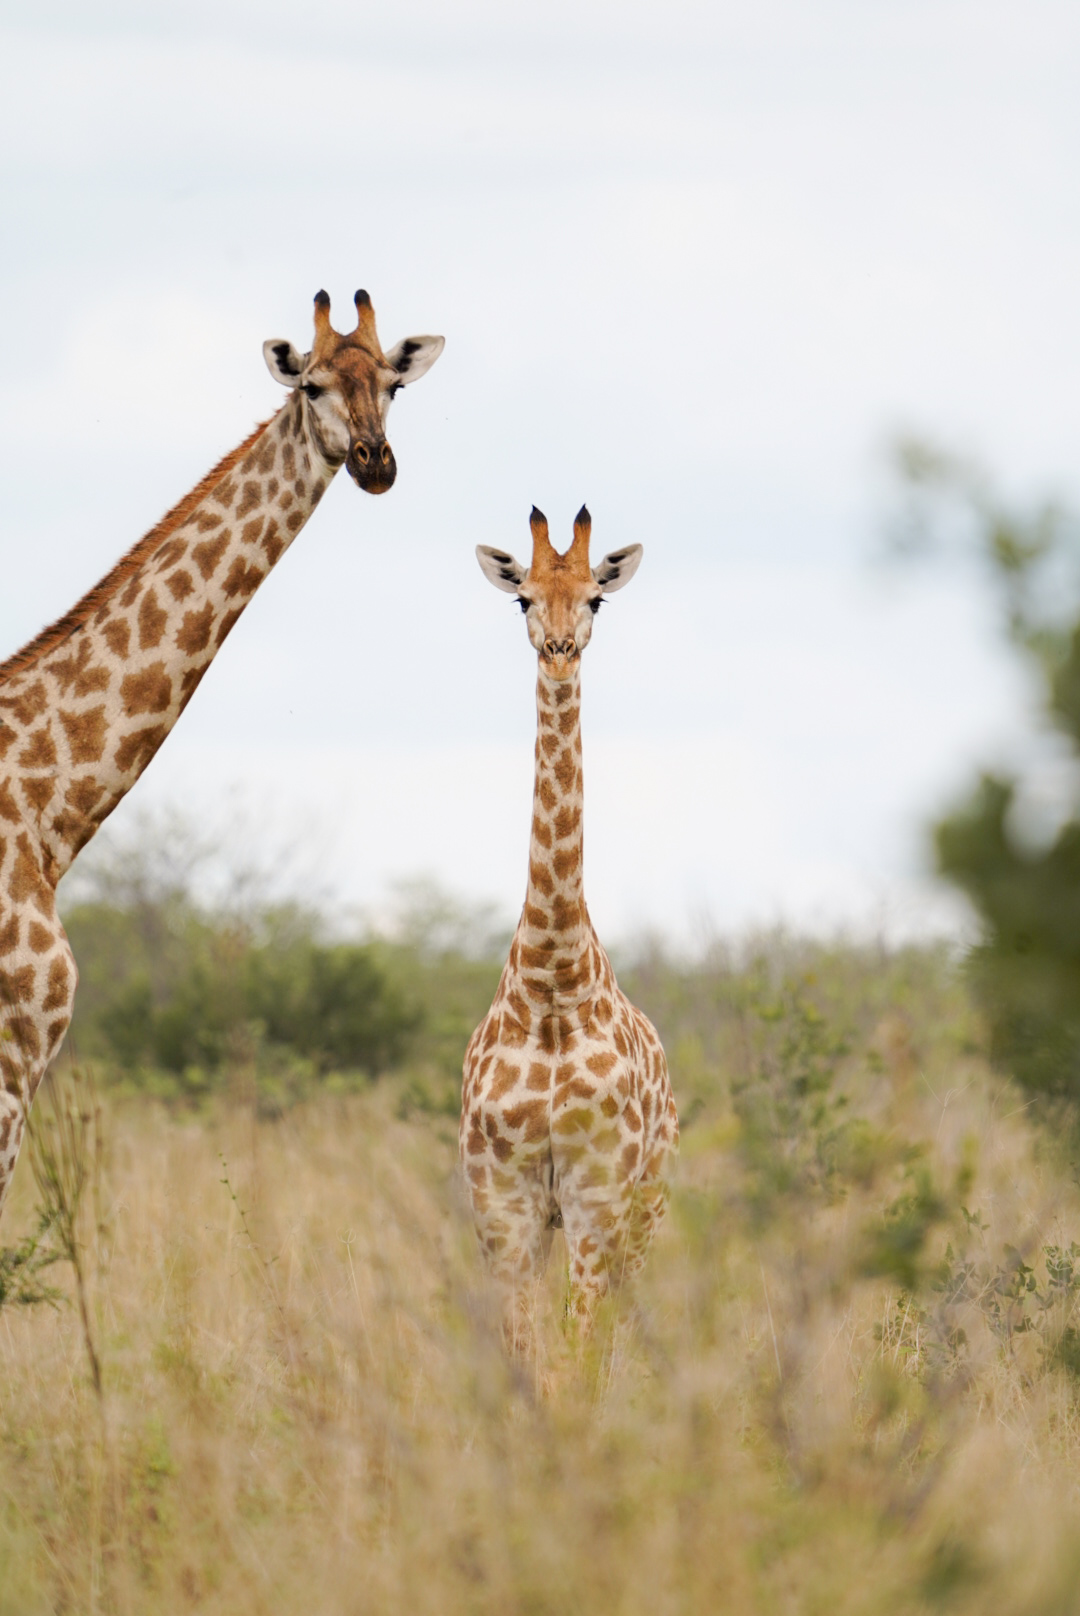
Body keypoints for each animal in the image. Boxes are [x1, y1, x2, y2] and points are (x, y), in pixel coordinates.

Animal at [461, 505, 678, 1347]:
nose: (559, 653)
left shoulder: (597, 1201)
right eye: (523, 597)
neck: (552, 981)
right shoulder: (506, 1205)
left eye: (597, 599)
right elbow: (530, 1351)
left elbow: (579, 1353)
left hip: (647, 1209)